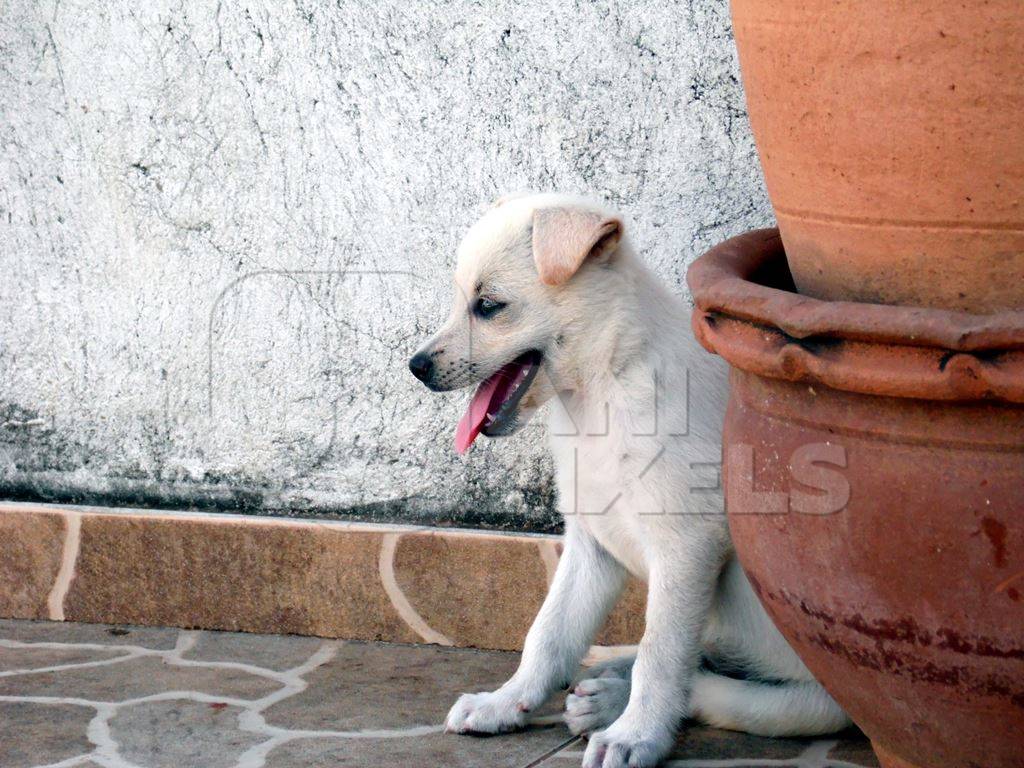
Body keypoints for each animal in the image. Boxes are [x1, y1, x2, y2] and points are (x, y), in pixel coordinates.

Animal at [407, 193, 847, 768]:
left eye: (489, 306)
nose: (415, 366)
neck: (604, 388)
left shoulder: (686, 549)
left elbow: (662, 657)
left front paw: (636, 736)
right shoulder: (591, 544)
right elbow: (547, 633)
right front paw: (504, 702)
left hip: (814, 697)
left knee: (711, 687)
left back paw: (611, 704)